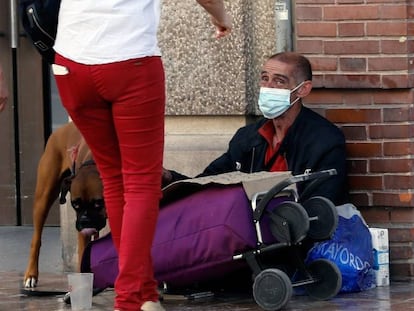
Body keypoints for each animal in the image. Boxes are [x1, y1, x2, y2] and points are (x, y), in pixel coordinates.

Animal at [24, 123, 106, 288]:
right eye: (75, 204)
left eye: (98, 203)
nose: (84, 222)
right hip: (43, 197)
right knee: (36, 239)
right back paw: (31, 275)